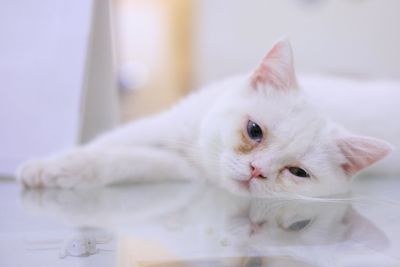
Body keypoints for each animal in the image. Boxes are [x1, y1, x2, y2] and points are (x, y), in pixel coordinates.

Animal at [17, 40, 392, 199]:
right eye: (254, 131)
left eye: (298, 172)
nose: (257, 170)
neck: (196, 149)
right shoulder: (166, 123)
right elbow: (108, 142)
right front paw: (50, 166)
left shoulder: (182, 169)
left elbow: (121, 159)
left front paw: (62, 170)